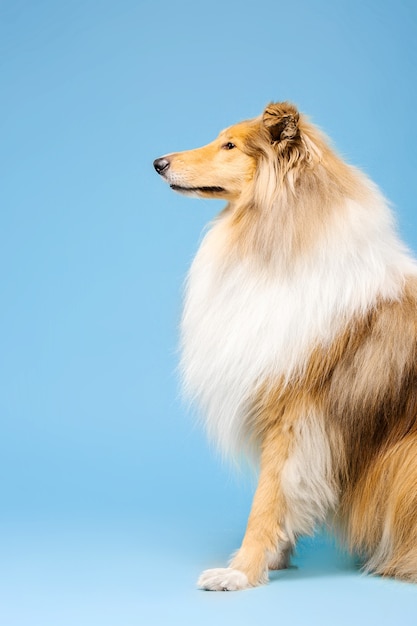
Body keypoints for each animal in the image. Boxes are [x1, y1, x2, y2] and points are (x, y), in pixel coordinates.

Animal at [154, 100, 416, 588]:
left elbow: (269, 498)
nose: (158, 163)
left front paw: (239, 572)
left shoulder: (295, 417)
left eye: (230, 145)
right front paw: (272, 558)